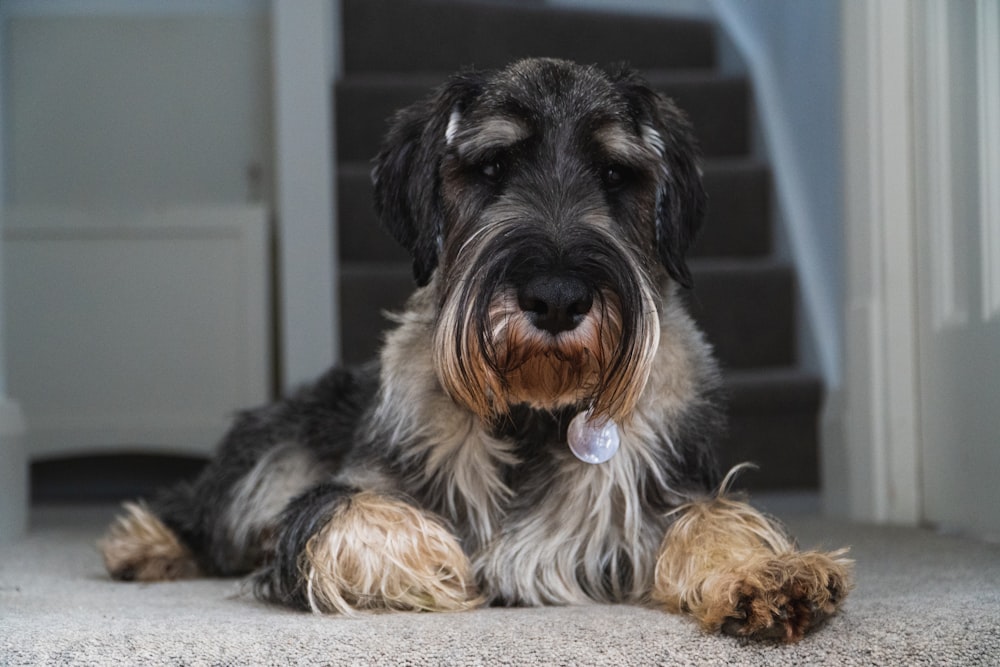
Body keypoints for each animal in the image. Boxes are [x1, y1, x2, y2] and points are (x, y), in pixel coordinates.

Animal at [99, 57, 852, 640]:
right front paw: (449, 566)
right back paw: (142, 544)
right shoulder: (336, 495)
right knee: (205, 508)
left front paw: (767, 573)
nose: (556, 298)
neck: (536, 410)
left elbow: (712, 519)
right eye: (492, 166)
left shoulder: (658, 492)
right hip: (268, 464)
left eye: (616, 175)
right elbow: (358, 516)